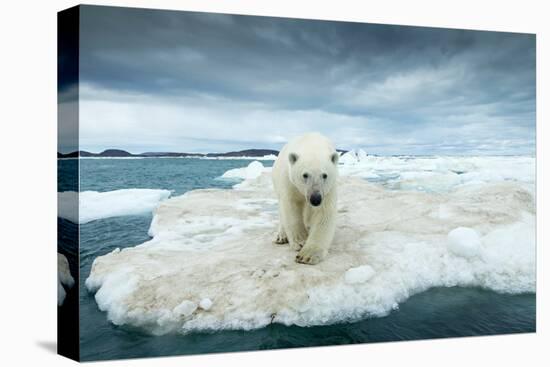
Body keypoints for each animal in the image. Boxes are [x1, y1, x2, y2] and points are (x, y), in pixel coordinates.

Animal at [272, 132, 338, 264]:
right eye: (305, 175)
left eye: (325, 175)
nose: (315, 199)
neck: (311, 143)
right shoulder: (289, 181)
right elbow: (291, 207)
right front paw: (301, 242)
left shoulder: (328, 189)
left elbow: (324, 212)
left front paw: (308, 254)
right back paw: (281, 236)